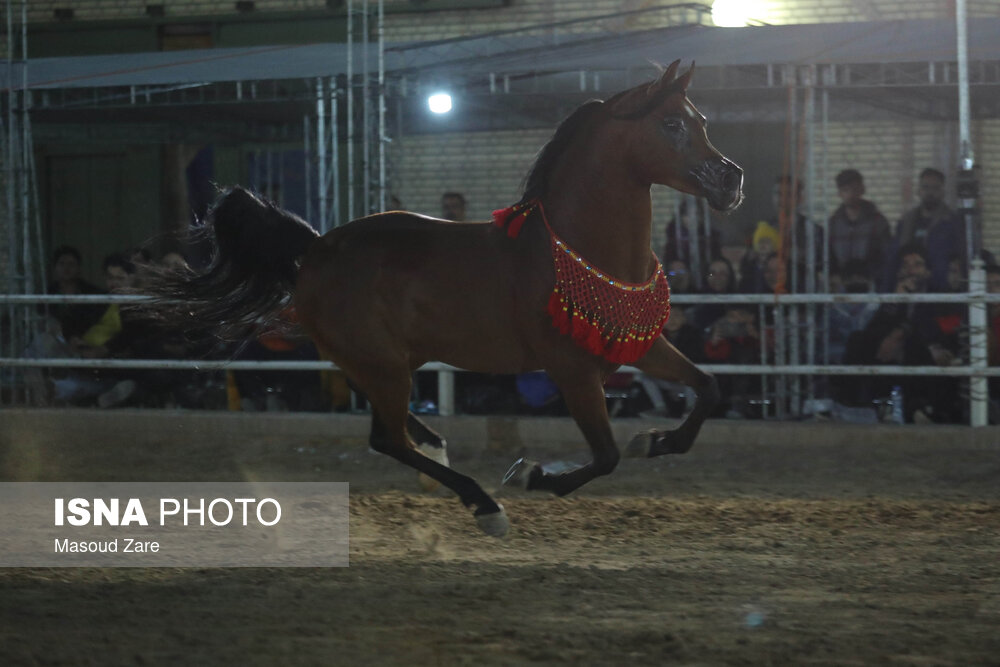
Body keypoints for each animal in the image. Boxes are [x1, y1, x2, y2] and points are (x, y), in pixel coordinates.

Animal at [148, 61, 744, 536]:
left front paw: (655, 441)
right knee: (386, 439)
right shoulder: (573, 371)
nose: (732, 180)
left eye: (702, 121)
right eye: (672, 124)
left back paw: (441, 454)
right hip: (382, 365)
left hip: (383, 362)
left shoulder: (639, 346)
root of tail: (316, 248)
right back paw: (485, 506)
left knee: (393, 426)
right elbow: (606, 456)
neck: (579, 247)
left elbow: (708, 389)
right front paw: (530, 475)